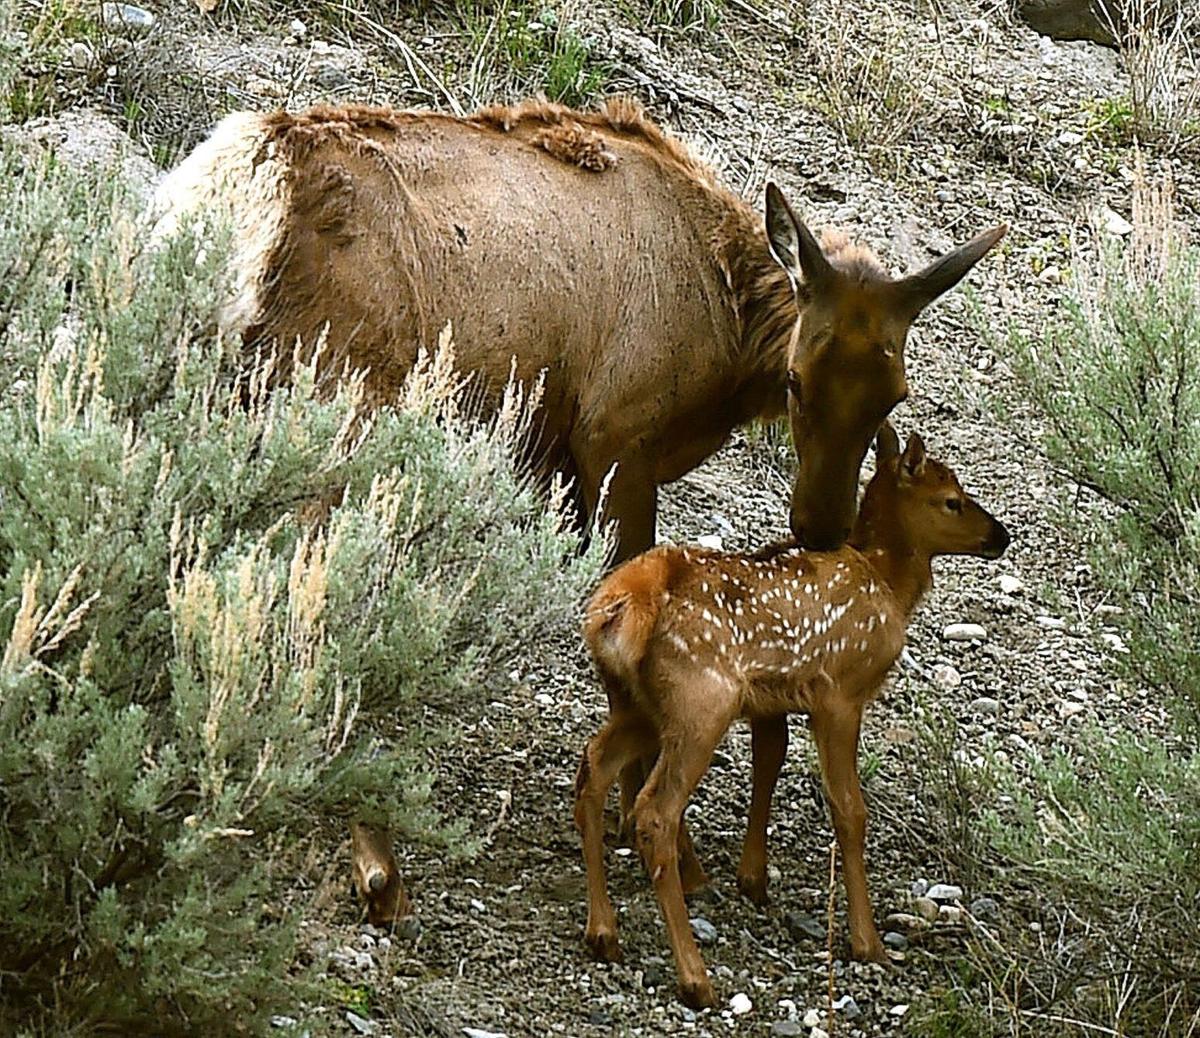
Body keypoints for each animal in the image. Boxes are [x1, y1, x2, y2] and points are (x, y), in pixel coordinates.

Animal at [574, 424, 1010, 1008]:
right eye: (952, 500)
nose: (1001, 535)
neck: (886, 581)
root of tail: (620, 606)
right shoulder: (840, 693)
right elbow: (849, 810)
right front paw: (867, 942)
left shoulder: (774, 700)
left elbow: (771, 762)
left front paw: (754, 880)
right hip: (700, 699)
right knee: (655, 811)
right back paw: (695, 977)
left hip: (636, 703)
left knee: (593, 768)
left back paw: (604, 933)